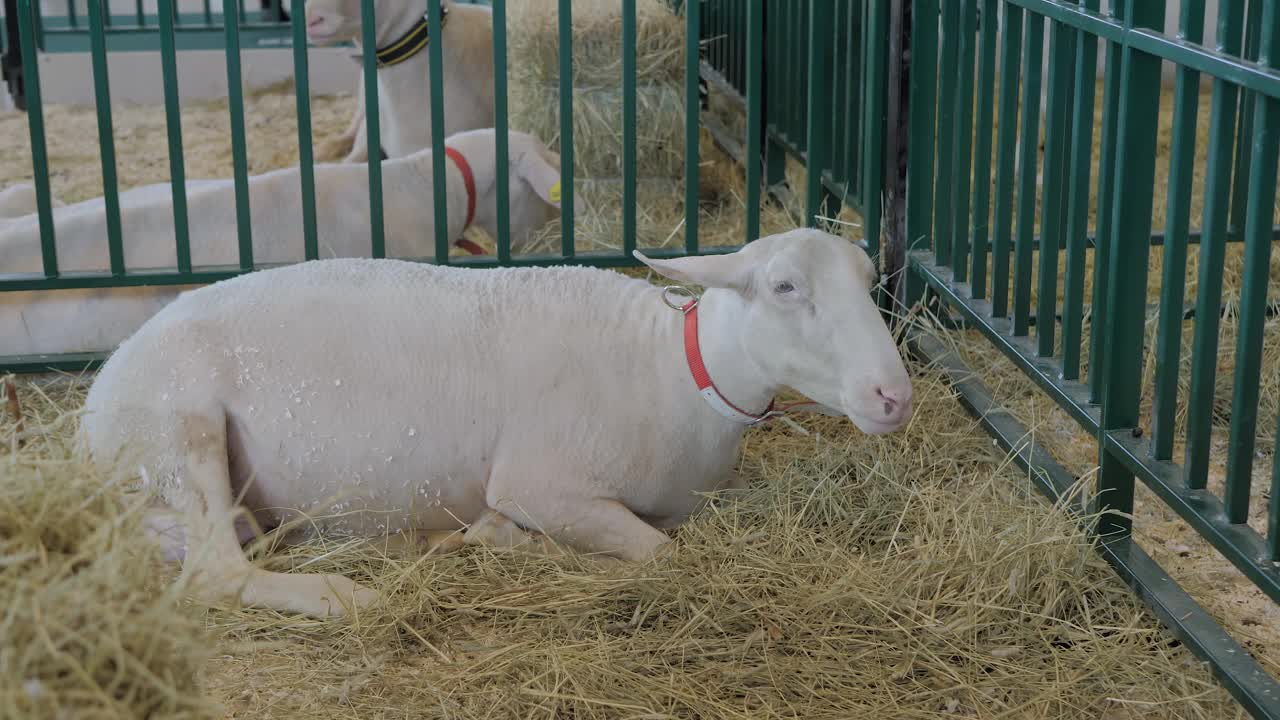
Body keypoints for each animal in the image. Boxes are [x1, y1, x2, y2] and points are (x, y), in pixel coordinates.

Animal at [77, 229, 911, 617]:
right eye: (785, 286)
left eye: (871, 280)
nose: (893, 395)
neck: (669, 370)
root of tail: (91, 412)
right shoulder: (544, 484)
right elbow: (658, 556)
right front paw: (517, 544)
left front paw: (489, 538)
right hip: (175, 429)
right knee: (215, 570)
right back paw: (347, 596)